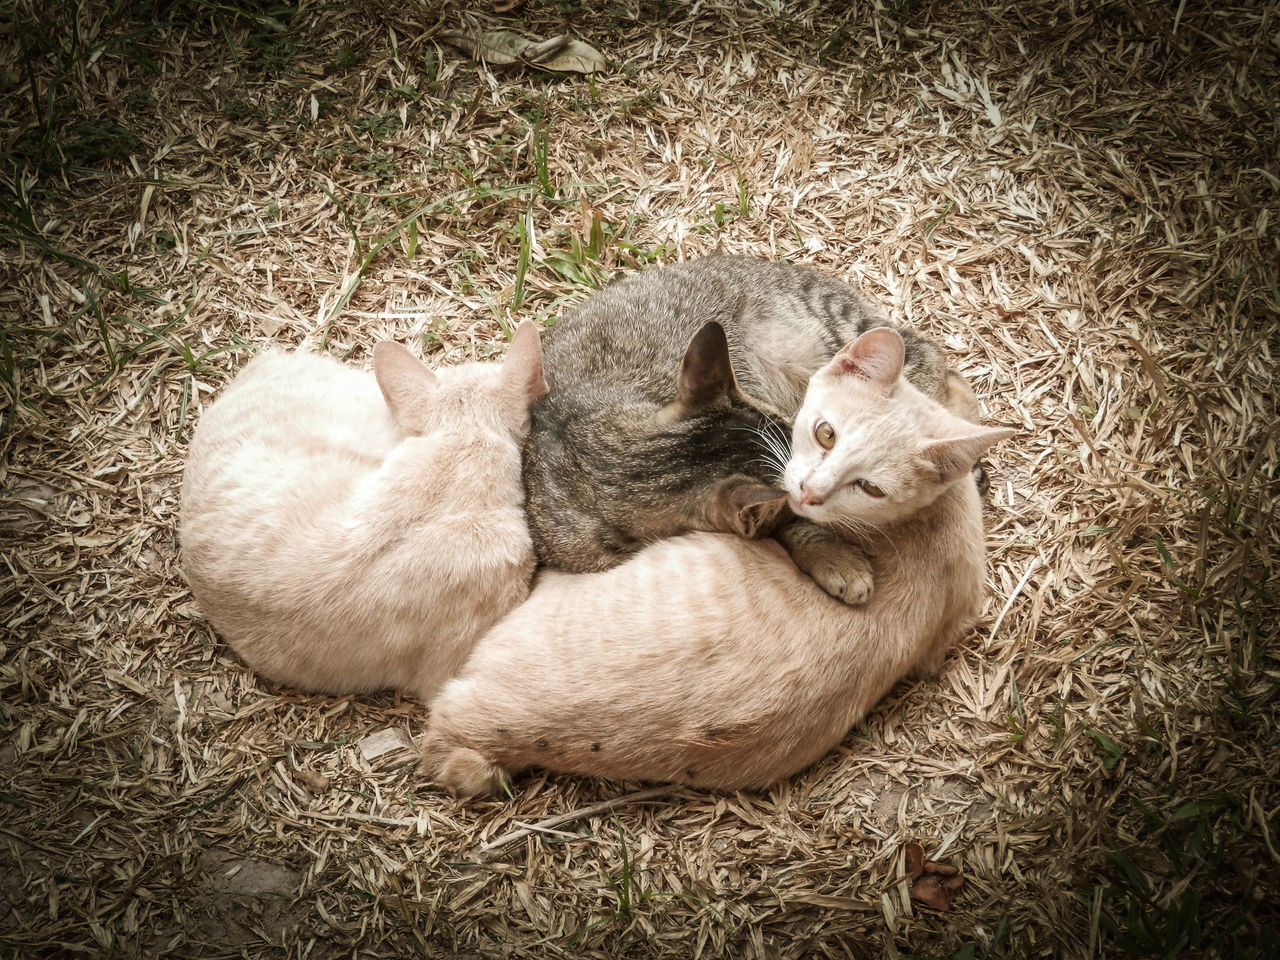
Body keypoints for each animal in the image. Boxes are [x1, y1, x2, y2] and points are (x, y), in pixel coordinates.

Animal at [419, 330, 1008, 798]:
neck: (610, 465)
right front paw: (840, 561)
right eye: (822, 433)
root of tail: (490, 729)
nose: (806, 488)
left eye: (807, 429)